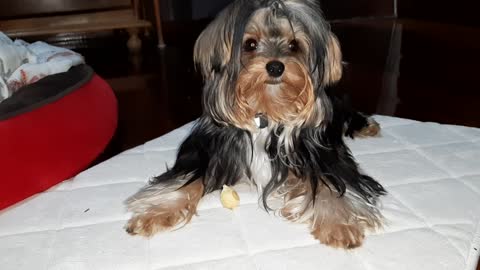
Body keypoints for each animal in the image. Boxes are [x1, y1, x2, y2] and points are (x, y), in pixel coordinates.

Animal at [124, 0, 386, 249]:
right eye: (250, 44)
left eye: (294, 46)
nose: (275, 66)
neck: (266, 110)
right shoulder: (208, 151)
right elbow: (185, 180)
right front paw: (155, 214)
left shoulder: (322, 154)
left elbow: (332, 183)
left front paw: (339, 224)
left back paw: (366, 124)